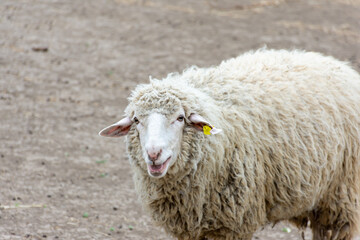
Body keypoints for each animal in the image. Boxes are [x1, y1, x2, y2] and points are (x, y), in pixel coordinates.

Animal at [98, 49, 360, 240]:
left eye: (180, 118)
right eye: (136, 120)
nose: (154, 154)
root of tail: (334, 63)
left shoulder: (231, 224)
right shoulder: (190, 227)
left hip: (342, 197)